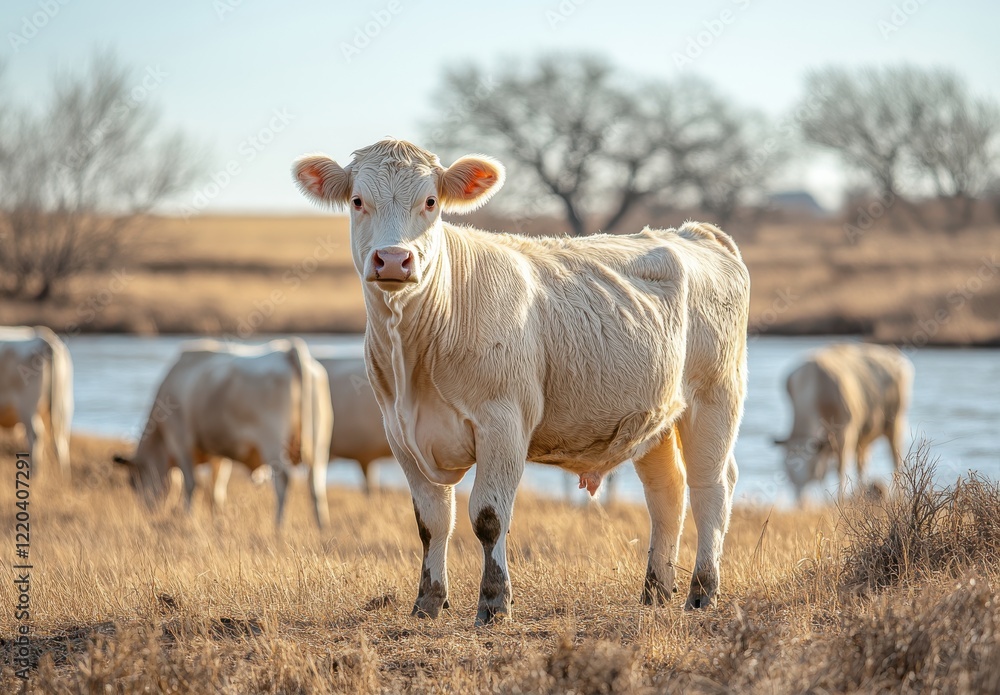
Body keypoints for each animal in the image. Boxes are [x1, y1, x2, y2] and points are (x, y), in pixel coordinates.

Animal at [0, 326, 73, 477]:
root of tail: (43, 338)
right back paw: (63, 476)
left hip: (26, 406)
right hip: (63, 404)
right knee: (61, 437)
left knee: (36, 435)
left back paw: (34, 475)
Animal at [113, 338, 333, 529]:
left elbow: (191, 484)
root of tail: (287, 350)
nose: (147, 511)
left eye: (132, 482)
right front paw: (216, 521)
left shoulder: (181, 441)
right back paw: (321, 527)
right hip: (318, 443)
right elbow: (216, 489)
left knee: (284, 479)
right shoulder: (218, 452)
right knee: (316, 484)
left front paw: (188, 517)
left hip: (272, 441)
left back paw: (278, 526)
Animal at [773, 342, 912, 503]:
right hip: (865, 434)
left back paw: (899, 496)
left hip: (895, 424)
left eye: (811, 469)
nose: (801, 501)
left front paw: (839, 500)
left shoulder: (845, 434)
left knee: (896, 459)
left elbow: (840, 469)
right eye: (786, 470)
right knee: (861, 462)